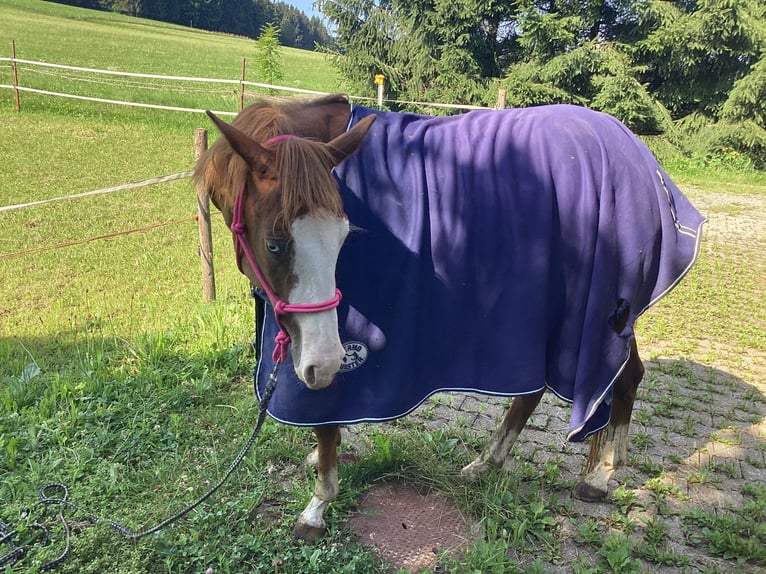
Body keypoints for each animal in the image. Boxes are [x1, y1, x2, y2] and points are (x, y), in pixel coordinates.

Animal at [194, 94, 708, 544]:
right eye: (276, 243)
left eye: (344, 237)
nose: (323, 363)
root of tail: (641, 156)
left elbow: (325, 423)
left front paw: (317, 507)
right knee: (578, 381)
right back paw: (497, 464)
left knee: (615, 377)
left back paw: (598, 476)